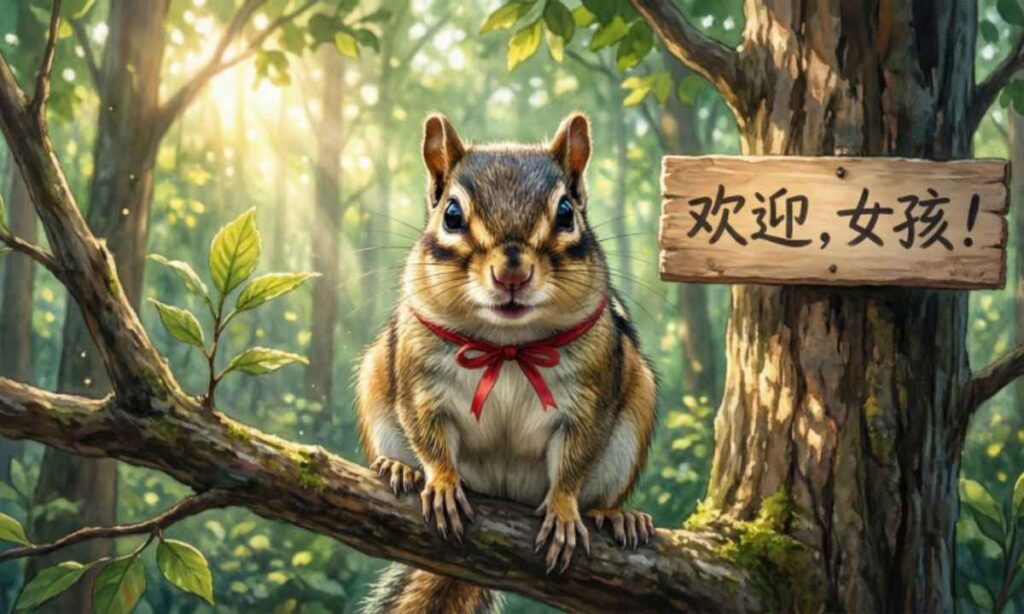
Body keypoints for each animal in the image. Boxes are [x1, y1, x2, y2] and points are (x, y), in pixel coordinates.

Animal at [356, 112, 658, 612]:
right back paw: (398, 468)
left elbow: (574, 462)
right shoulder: (419, 382)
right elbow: (429, 435)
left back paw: (614, 516)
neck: (508, 345)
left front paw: (564, 510)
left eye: (566, 213)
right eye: (451, 215)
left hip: (635, 411)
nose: (512, 272)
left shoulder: (591, 397)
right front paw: (441, 482)